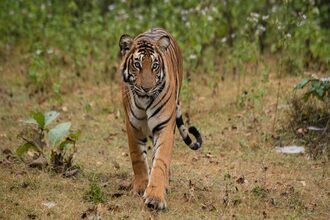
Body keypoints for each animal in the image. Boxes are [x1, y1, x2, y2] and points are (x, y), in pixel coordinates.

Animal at [117, 27, 202, 210]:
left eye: (155, 66)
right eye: (137, 64)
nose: (147, 88)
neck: (144, 100)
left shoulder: (164, 127)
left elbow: (161, 160)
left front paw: (155, 197)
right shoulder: (132, 126)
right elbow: (137, 158)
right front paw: (141, 187)